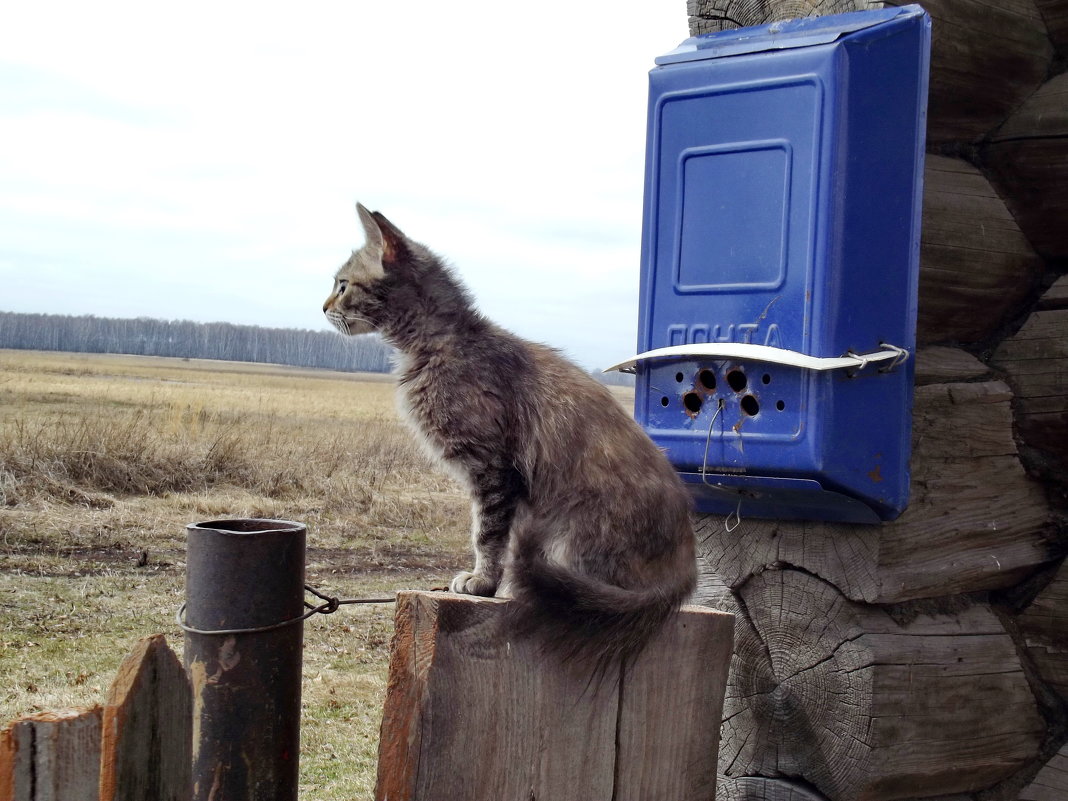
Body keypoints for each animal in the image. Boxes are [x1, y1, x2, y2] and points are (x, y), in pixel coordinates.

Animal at [320, 203, 696, 674]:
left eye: (342, 284)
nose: (323, 306)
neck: (441, 343)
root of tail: (685, 571)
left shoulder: (492, 467)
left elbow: (487, 532)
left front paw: (483, 581)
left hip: (574, 526)